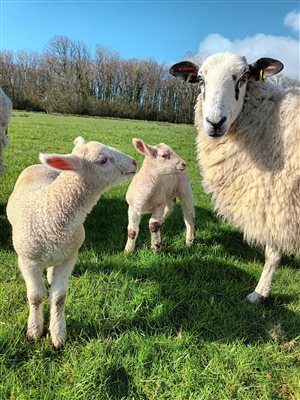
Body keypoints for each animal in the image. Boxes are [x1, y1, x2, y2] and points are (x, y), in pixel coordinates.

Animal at [7, 137, 137, 346]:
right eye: (103, 160)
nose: (134, 162)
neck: (50, 214)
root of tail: (38, 166)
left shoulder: (69, 257)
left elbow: (59, 297)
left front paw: (58, 333)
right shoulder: (27, 260)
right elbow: (35, 297)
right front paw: (34, 330)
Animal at [170, 53, 300, 304]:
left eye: (243, 78)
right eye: (201, 80)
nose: (214, 122)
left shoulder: (278, 201)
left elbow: (272, 254)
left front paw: (259, 293)